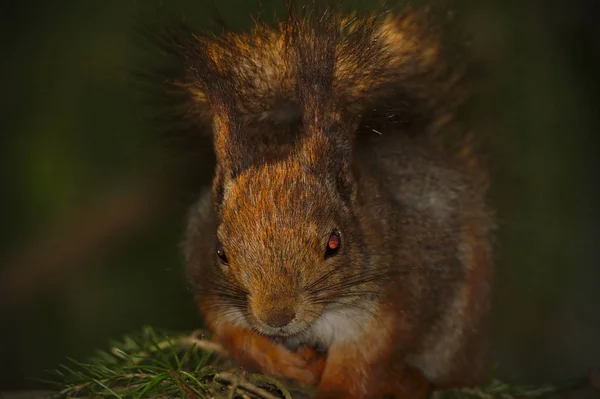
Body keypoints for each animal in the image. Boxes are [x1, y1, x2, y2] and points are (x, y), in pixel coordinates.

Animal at [152, 1, 494, 398]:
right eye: (220, 252)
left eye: (334, 243)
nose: (276, 317)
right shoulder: (214, 293)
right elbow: (239, 338)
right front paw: (285, 363)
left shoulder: (399, 296)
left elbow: (364, 359)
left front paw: (334, 386)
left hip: (459, 329)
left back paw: (410, 380)